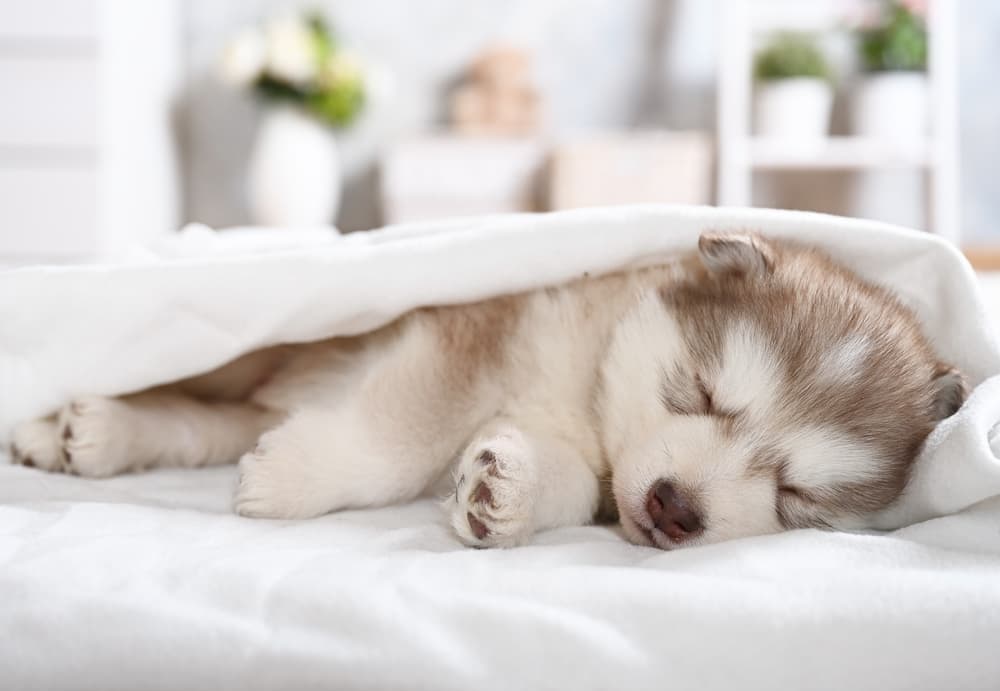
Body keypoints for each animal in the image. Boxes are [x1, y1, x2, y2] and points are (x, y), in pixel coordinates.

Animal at [7, 234, 964, 552]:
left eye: (797, 497)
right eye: (701, 392)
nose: (676, 506)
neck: (584, 391)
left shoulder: (595, 469)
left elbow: (564, 483)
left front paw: (502, 492)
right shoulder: (464, 332)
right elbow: (400, 439)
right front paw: (290, 479)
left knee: (209, 420)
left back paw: (97, 432)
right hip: (256, 338)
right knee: (194, 376)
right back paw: (68, 423)